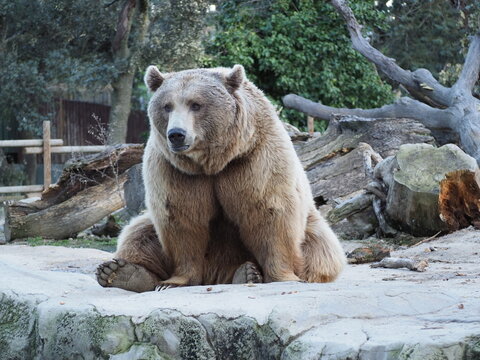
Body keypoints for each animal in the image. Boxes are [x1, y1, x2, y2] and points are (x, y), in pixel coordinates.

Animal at [96, 64, 344, 292]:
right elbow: (181, 220)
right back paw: (122, 272)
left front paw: (283, 277)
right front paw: (173, 282)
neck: (213, 163)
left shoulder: (254, 158)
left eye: (196, 104)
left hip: (312, 224)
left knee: (321, 248)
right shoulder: (175, 172)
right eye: (167, 106)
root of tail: (215, 275)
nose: (176, 134)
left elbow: (270, 212)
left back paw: (247, 272)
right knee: (138, 234)